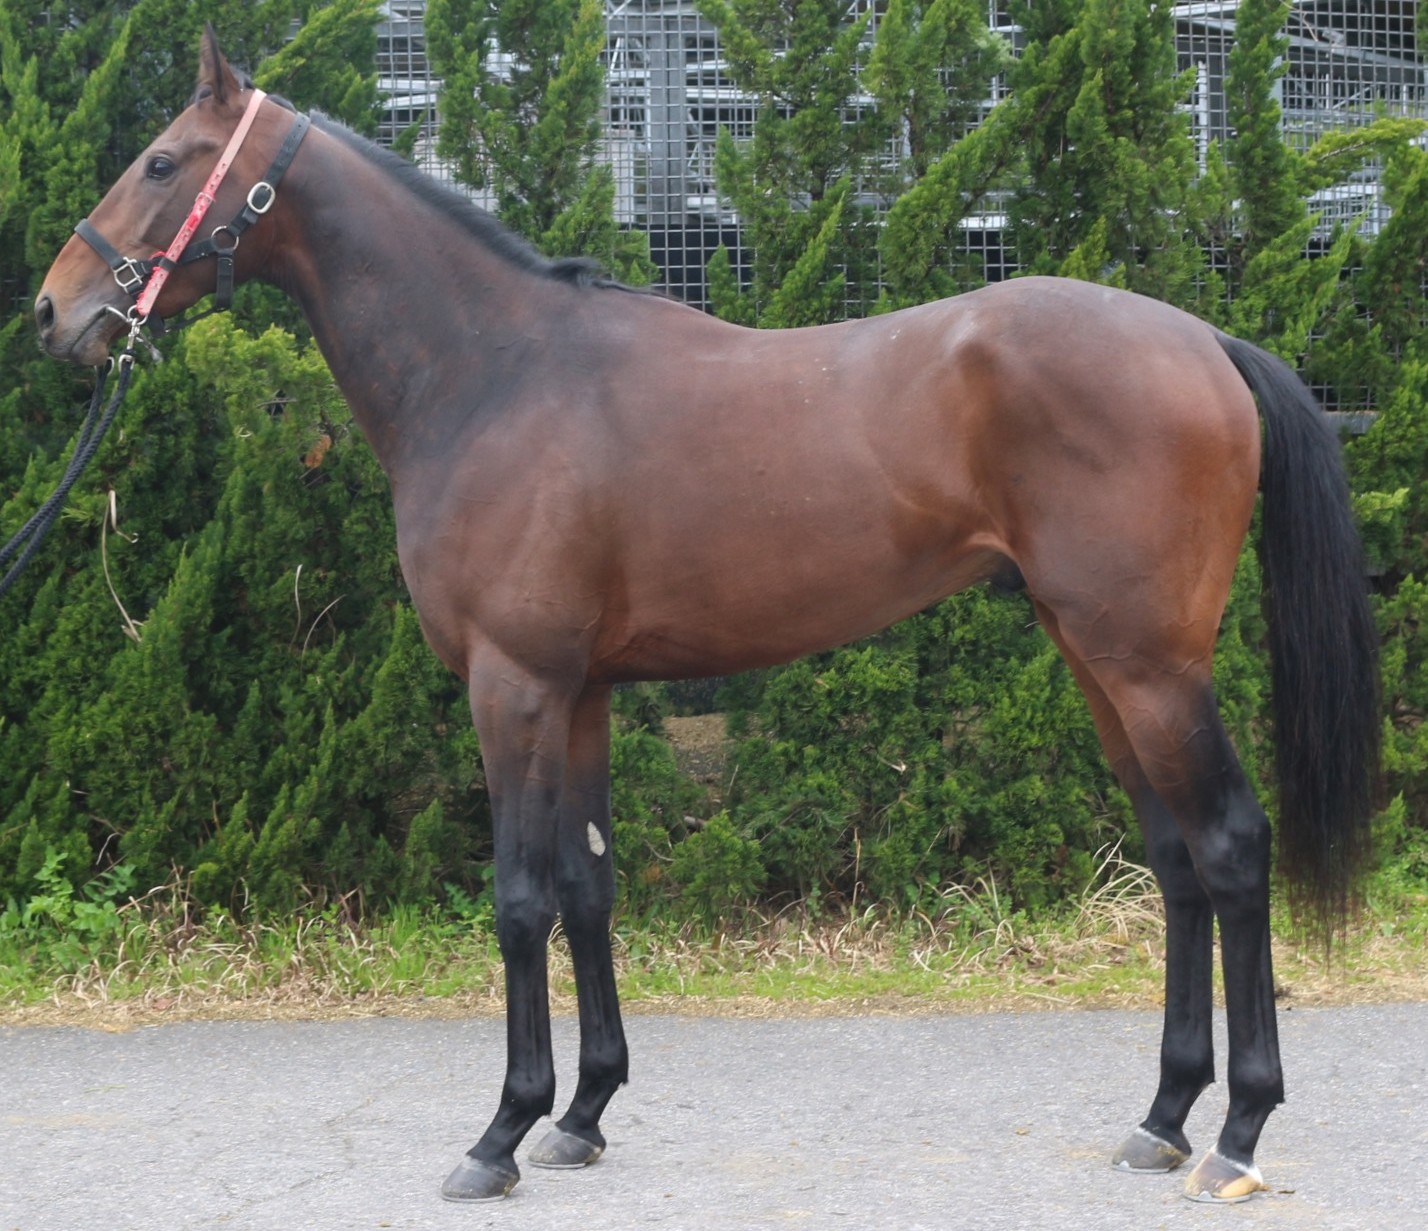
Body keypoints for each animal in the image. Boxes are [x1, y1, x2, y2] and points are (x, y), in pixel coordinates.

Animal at [34, 29, 1379, 1206]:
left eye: (162, 161)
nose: (53, 312)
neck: (496, 375)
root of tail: (1203, 337)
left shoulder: (511, 684)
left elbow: (519, 897)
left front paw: (500, 1133)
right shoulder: (578, 691)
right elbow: (589, 887)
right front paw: (582, 1115)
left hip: (1150, 664)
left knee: (1231, 846)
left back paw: (1238, 1132)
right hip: (1096, 658)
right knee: (1176, 861)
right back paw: (1163, 1117)